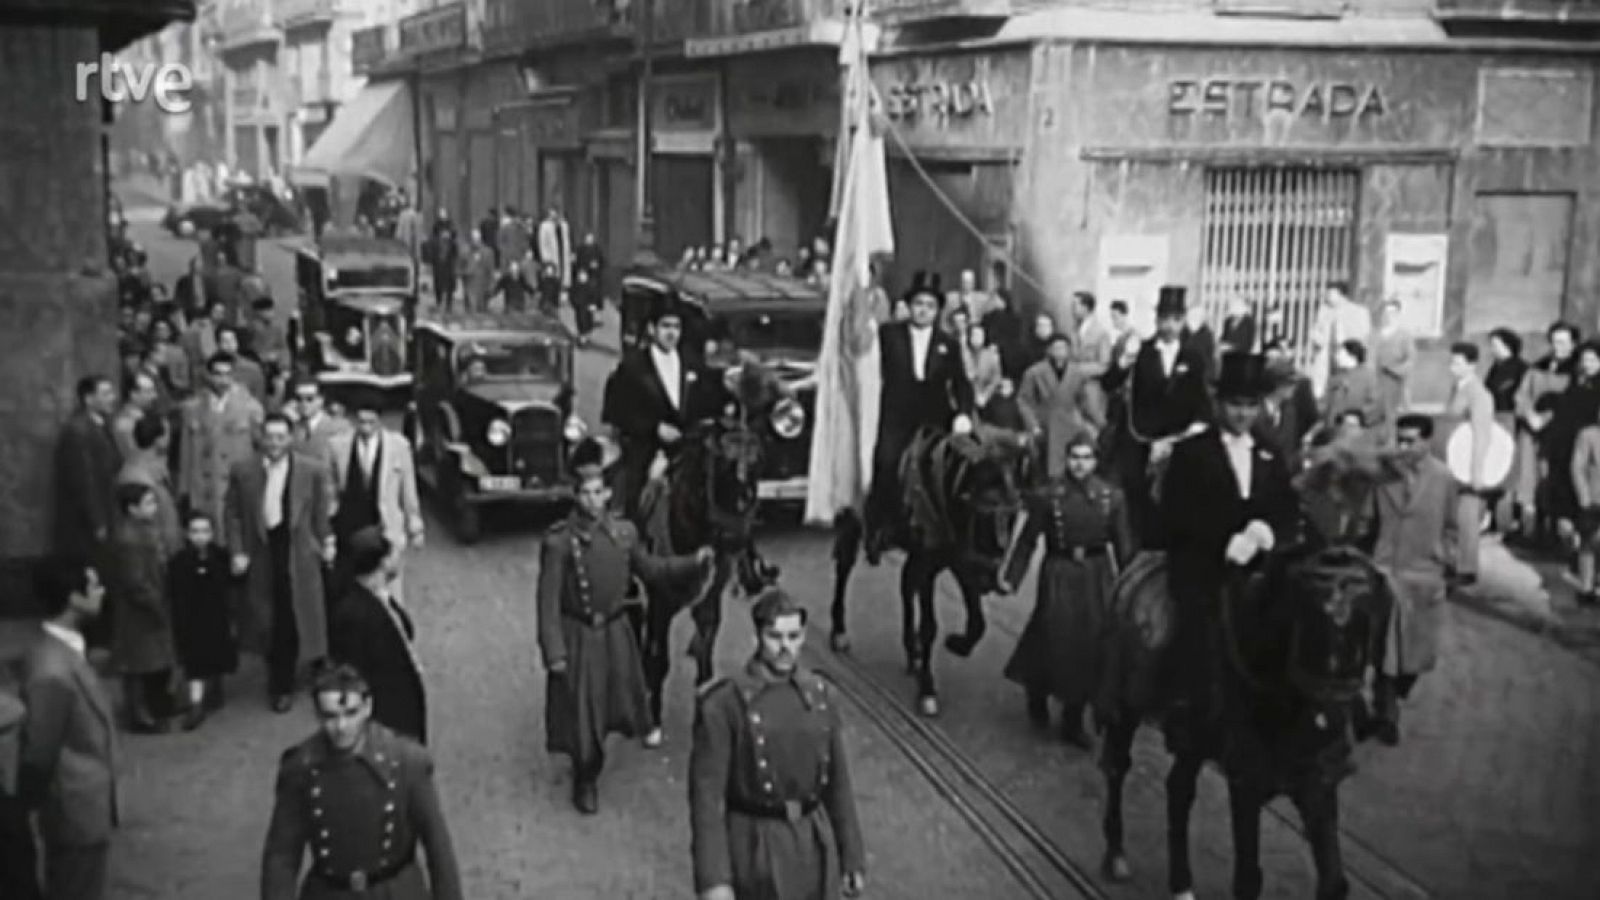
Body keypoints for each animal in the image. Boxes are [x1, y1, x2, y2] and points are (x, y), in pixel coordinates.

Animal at [636, 357, 787, 736]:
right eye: (721, 464)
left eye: (760, 462)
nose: (736, 538)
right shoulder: (659, 598)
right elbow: (659, 653)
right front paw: (653, 719)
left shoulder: (711, 595)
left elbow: (706, 648)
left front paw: (704, 701)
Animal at [832, 425, 1030, 714]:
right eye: (983, 511)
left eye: (1014, 513)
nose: (990, 577)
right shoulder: (931, 564)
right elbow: (929, 626)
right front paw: (927, 689)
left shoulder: (959, 562)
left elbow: (978, 623)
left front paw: (957, 644)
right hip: (853, 516)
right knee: (845, 564)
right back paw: (839, 632)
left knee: (905, 583)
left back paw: (910, 650)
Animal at [1094, 538, 1395, 896]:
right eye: (1311, 606)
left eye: (1370, 610)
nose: (1336, 700)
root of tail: (1139, 563)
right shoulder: (1245, 781)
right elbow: (1248, 879)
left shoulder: (1317, 781)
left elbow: (1335, 881)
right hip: (1125, 710)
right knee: (1117, 767)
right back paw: (1116, 855)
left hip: (1193, 742)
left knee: (1178, 789)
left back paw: (1182, 884)